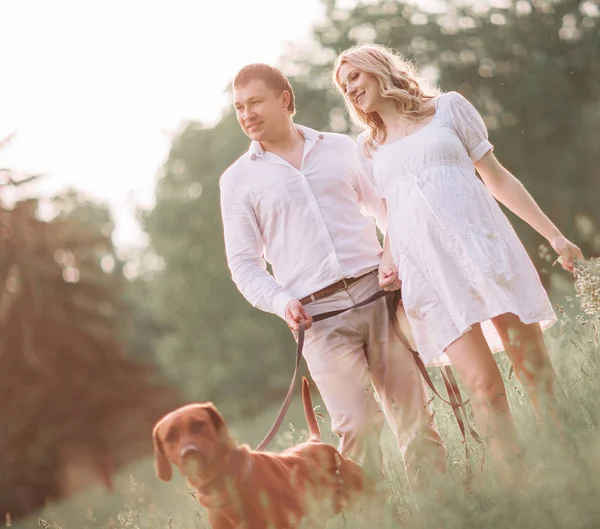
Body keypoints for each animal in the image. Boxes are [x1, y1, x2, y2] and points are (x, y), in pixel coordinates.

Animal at [150, 376, 384, 528]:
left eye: (199, 425)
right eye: (170, 437)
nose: (189, 453)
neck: (226, 485)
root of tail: (315, 442)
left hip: (367, 497)